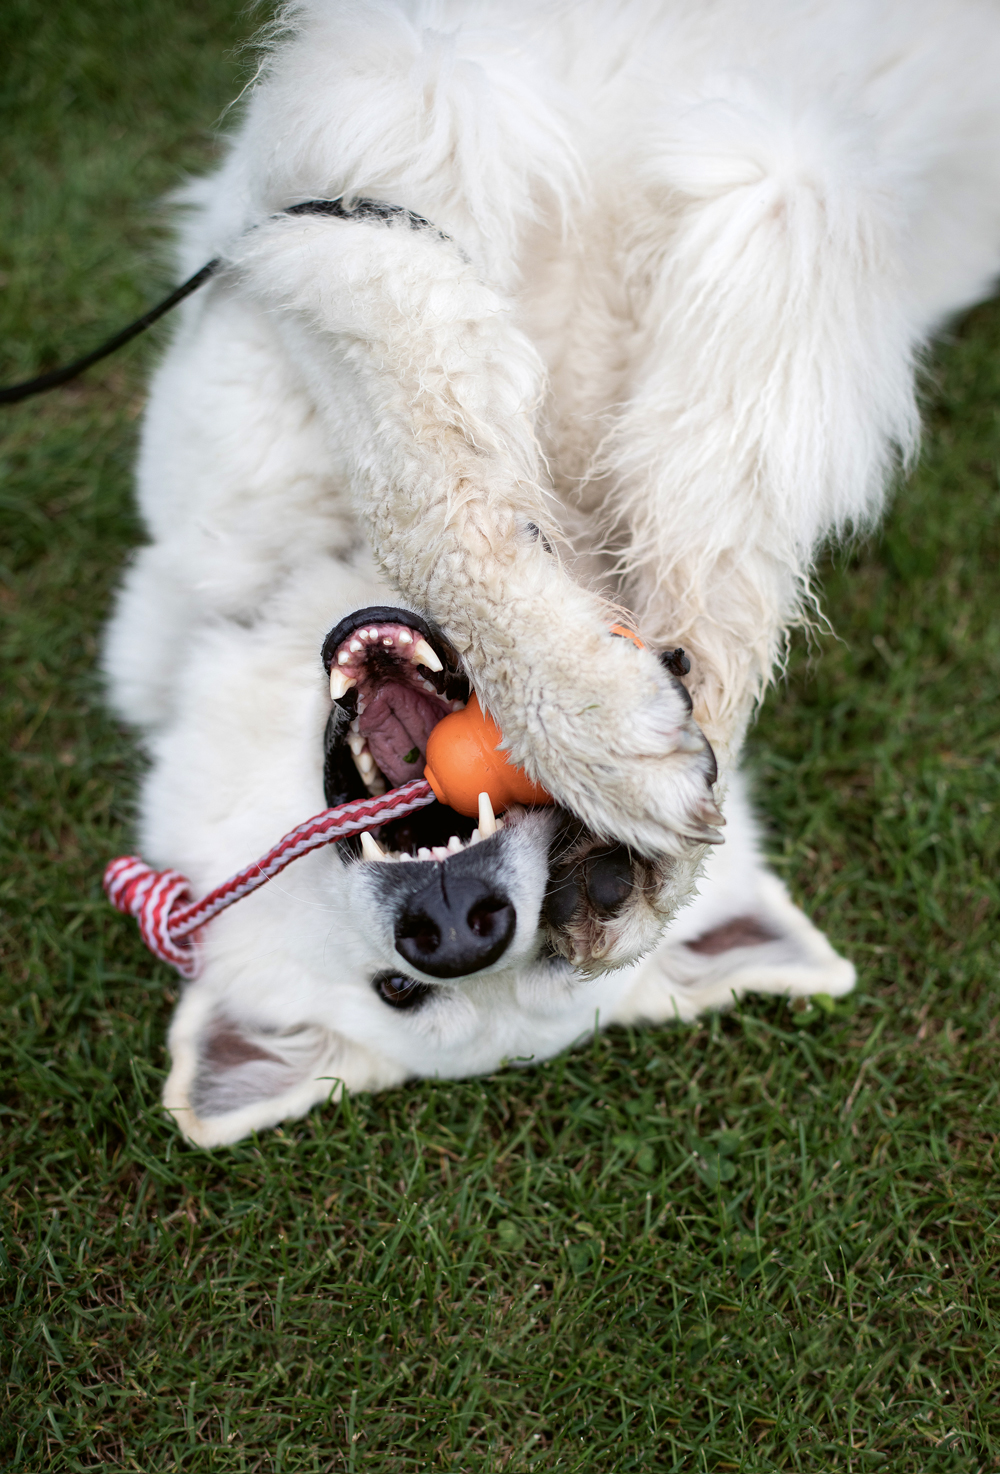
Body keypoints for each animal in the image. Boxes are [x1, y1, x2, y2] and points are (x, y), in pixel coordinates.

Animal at [105, 0, 1000, 1143]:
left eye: (594, 886)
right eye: (400, 992)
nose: (457, 925)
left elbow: (717, 478)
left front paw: (620, 707)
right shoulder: (381, 136)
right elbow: (422, 450)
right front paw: (603, 722)